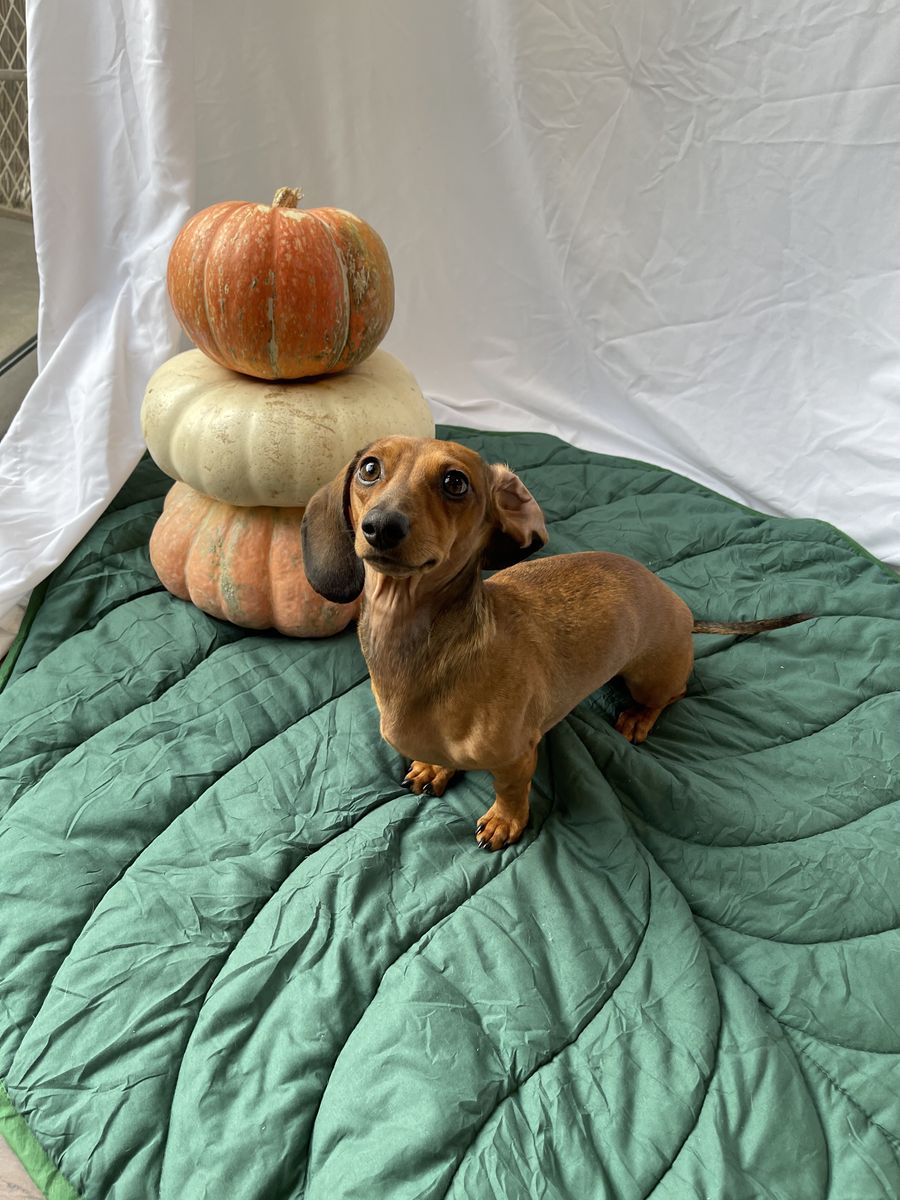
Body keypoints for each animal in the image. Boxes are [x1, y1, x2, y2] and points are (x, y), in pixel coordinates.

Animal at [301, 436, 809, 850]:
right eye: (370, 468)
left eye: (454, 482)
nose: (382, 526)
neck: (421, 651)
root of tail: (682, 610)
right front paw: (434, 767)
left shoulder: (517, 756)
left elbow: (510, 790)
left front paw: (505, 822)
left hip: (649, 677)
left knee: (674, 693)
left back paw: (639, 717)